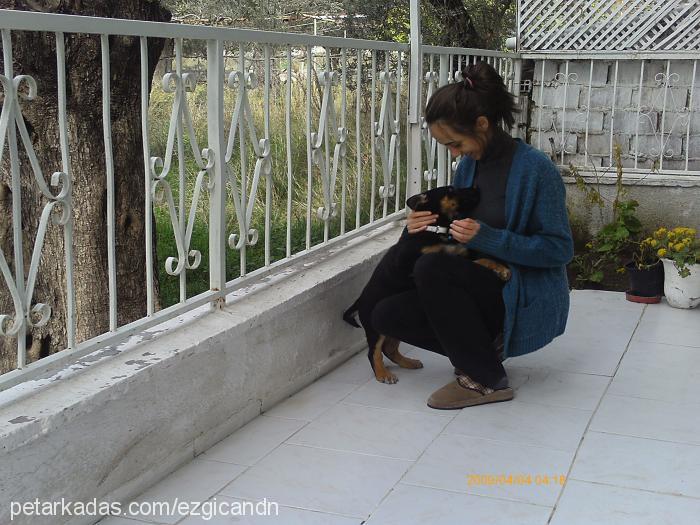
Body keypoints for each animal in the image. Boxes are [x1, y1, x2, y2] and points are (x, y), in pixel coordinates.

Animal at [344, 186, 512, 382]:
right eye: (451, 189)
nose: (476, 188)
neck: (438, 230)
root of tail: (359, 301)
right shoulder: (412, 262)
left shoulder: (459, 256)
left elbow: (482, 259)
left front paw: (501, 268)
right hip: (373, 326)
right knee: (374, 352)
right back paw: (382, 374)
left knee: (389, 348)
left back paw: (408, 363)